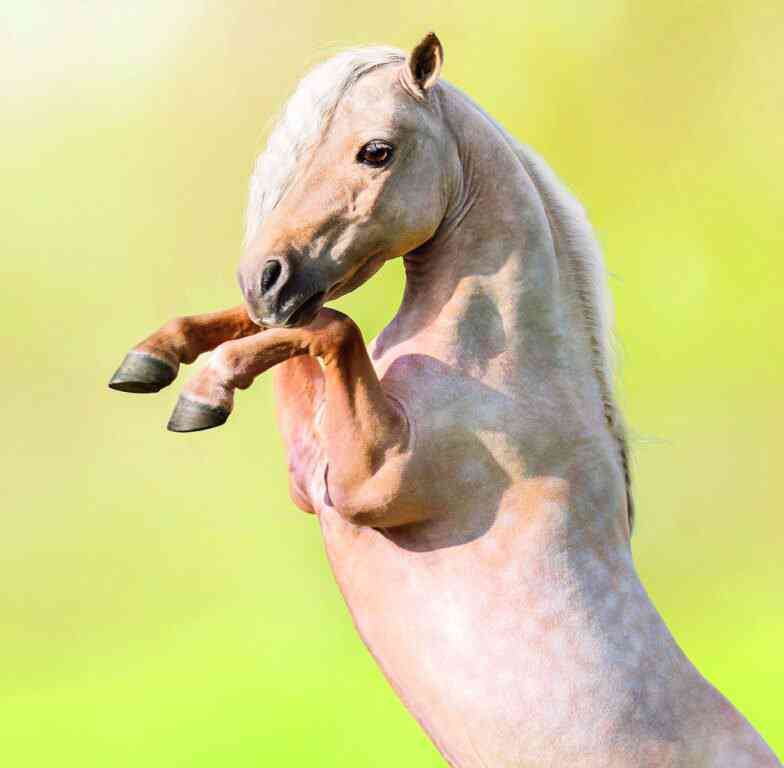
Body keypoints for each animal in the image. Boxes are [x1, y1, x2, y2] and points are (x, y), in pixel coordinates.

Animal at [109, 34, 780, 768]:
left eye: (376, 151)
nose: (266, 277)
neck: (504, 366)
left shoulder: (369, 481)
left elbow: (330, 328)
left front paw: (204, 390)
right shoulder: (309, 473)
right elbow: (291, 327)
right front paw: (153, 359)